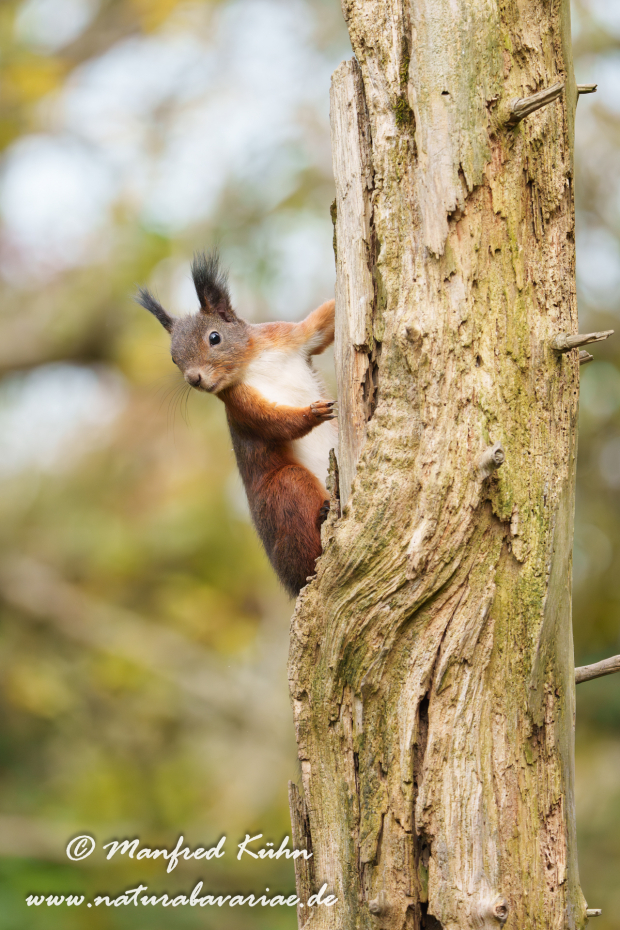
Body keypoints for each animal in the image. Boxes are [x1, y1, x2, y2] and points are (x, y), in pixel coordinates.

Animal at [136, 251, 337, 597]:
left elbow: (322, 325)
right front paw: (313, 413)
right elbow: (276, 423)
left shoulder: (289, 334)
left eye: (214, 337)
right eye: (174, 358)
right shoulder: (240, 405)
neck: (253, 360)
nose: (194, 379)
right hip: (285, 491)